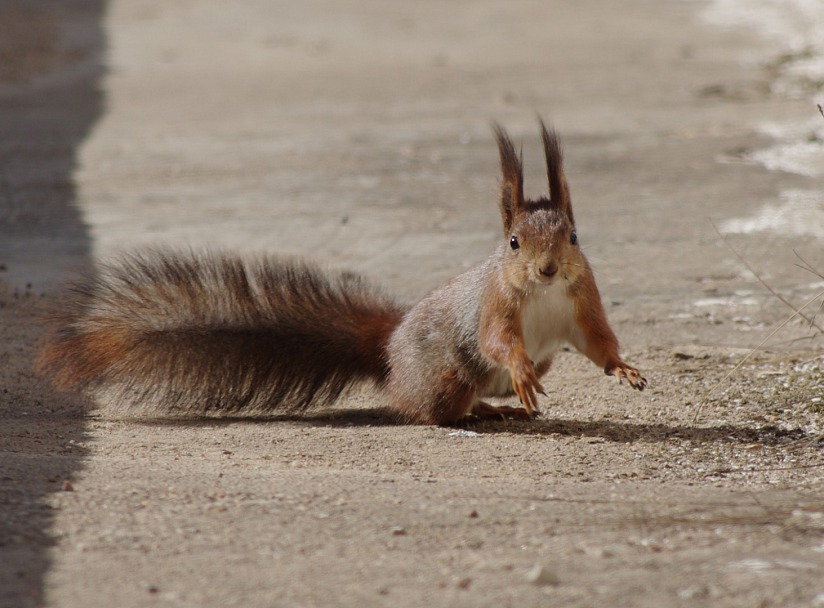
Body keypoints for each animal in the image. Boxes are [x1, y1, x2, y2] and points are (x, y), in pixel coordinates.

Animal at [37, 121, 644, 426]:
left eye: (573, 237)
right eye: (513, 242)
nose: (546, 269)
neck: (543, 295)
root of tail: (388, 347)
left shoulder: (581, 301)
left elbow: (596, 341)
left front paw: (624, 369)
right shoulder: (495, 304)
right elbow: (498, 340)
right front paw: (518, 368)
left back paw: (501, 410)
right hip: (446, 376)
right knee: (425, 411)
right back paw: (482, 414)